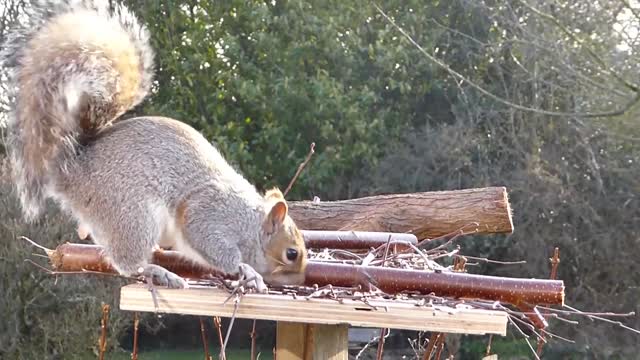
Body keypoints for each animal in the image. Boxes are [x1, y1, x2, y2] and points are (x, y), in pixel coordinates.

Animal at [1, 0, 308, 290]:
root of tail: (71, 169)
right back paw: (157, 271)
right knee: (127, 263)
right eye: (291, 253)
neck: (251, 225)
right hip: (133, 213)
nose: (300, 280)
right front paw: (247, 270)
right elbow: (211, 243)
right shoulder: (210, 214)